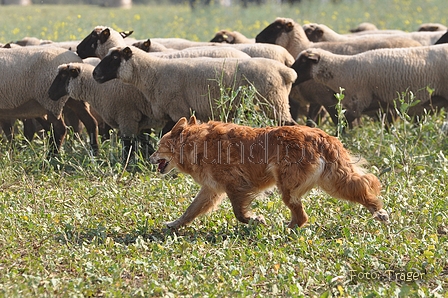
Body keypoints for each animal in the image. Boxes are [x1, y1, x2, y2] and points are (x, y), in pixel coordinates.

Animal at [93, 46, 300, 126]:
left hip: (274, 105)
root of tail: (286, 71)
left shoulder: (178, 109)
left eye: (114, 58)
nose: (95, 74)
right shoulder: (171, 113)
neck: (153, 73)